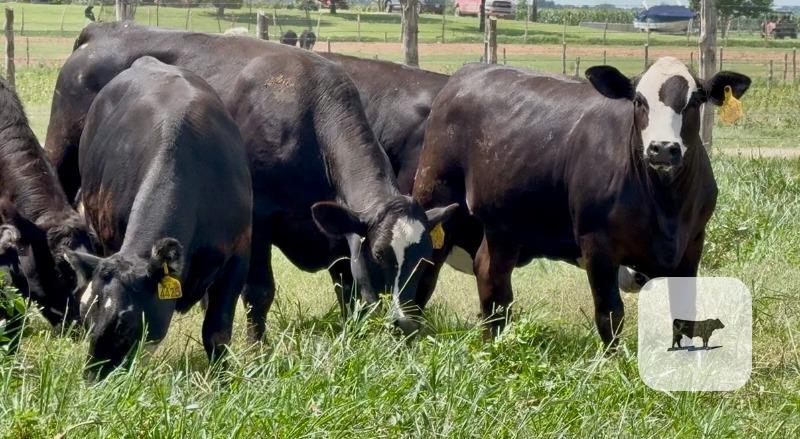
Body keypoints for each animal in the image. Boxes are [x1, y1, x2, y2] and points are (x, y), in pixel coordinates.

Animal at [44, 23, 453, 340]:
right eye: (382, 254)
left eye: (424, 258)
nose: (404, 323)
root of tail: (105, 30)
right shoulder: (259, 220)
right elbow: (260, 292)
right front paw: (258, 351)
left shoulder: (339, 231)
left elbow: (350, 290)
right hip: (62, 153)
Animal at [63, 57, 252, 378]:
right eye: (86, 318)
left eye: (124, 324)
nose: (91, 380)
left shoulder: (238, 256)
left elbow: (217, 331)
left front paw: (222, 379)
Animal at [412, 58, 750, 344]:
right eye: (639, 101)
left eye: (694, 101)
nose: (663, 148)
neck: (665, 204)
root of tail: (467, 73)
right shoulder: (596, 243)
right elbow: (610, 314)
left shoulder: (692, 244)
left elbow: (685, 313)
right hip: (437, 197)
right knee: (426, 268)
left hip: (505, 226)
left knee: (492, 278)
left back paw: (494, 341)